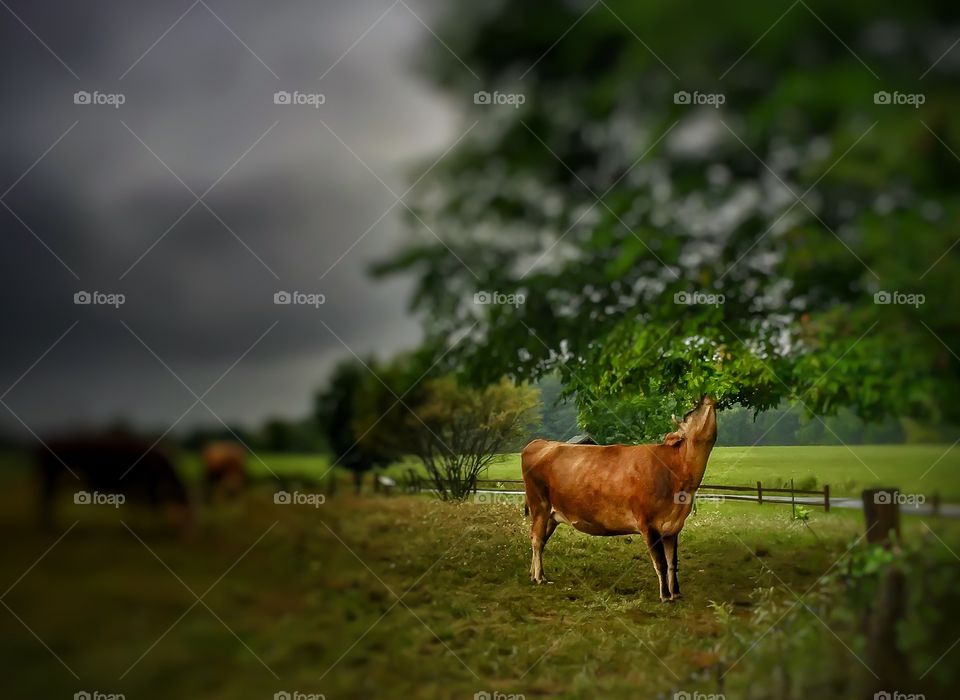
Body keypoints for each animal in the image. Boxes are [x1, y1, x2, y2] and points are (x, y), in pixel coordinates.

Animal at [520, 394, 716, 600]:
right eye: (689, 413)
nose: (705, 396)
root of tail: (541, 443)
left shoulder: (673, 527)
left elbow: (673, 562)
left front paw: (676, 593)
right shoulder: (648, 524)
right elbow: (661, 562)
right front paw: (664, 595)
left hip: (552, 514)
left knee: (540, 540)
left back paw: (536, 574)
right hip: (539, 505)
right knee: (536, 539)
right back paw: (538, 578)